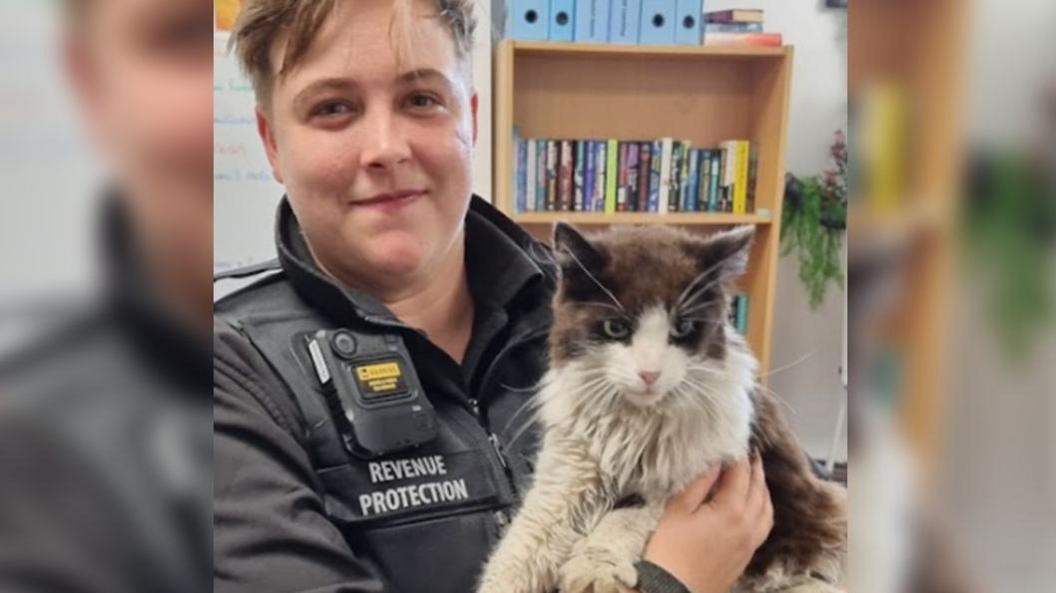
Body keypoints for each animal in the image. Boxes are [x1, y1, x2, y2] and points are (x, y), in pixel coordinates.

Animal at [475, 221, 844, 590]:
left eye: (682, 328)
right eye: (616, 327)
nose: (649, 374)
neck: (634, 421)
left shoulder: (691, 471)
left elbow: (629, 512)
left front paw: (595, 567)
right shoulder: (570, 468)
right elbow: (527, 540)